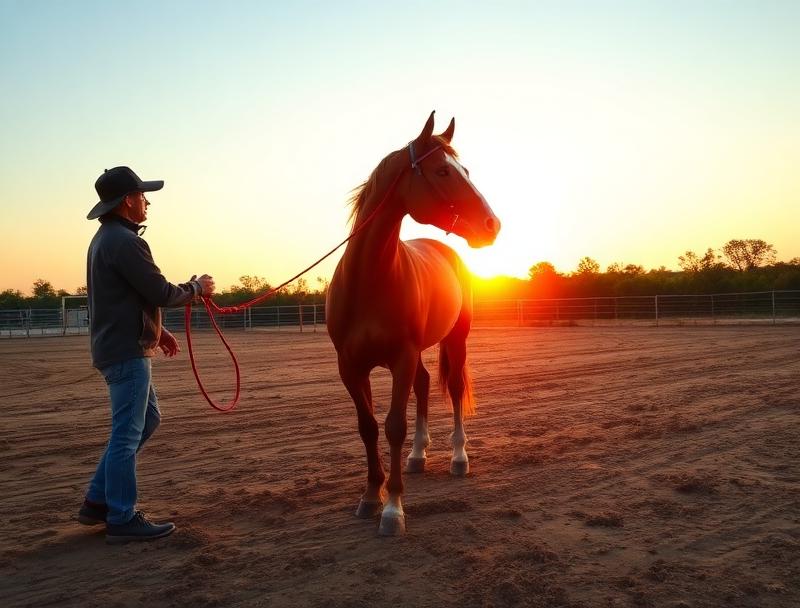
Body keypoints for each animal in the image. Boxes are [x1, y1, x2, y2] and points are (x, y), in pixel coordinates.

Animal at [326, 112, 501, 536]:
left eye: (465, 170)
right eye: (443, 171)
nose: (492, 224)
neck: (370, 281)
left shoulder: (401, 359)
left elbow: (394, 426)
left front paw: (393, 510)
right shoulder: (350, 367)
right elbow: (369, 427)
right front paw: (370, 496)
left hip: (456, 340)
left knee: (453, 389)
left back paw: (458, 458)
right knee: (423, 384)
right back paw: (418, 456)